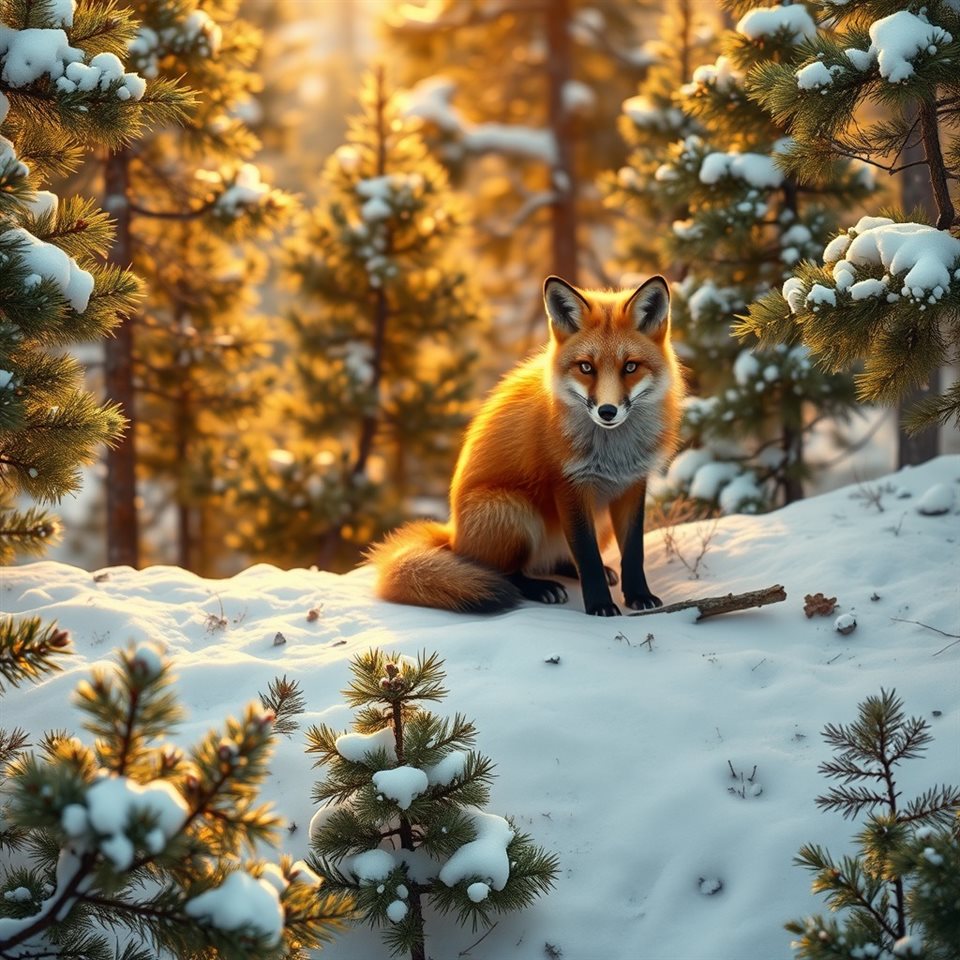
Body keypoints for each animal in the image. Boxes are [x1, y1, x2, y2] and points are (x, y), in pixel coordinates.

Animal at [366, 274, 683, 616]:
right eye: (586, 367)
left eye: (630, 367)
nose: (607, 411)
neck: (614, 453)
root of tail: (453, 536)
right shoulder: (568, 485)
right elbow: (587, 557)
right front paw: (600, 606)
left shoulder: (632, 484)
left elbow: (633, 552)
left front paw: (639, 596)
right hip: (513, 509)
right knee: (502, 572)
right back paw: (539, 588)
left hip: (596, 523)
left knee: (558, 560)